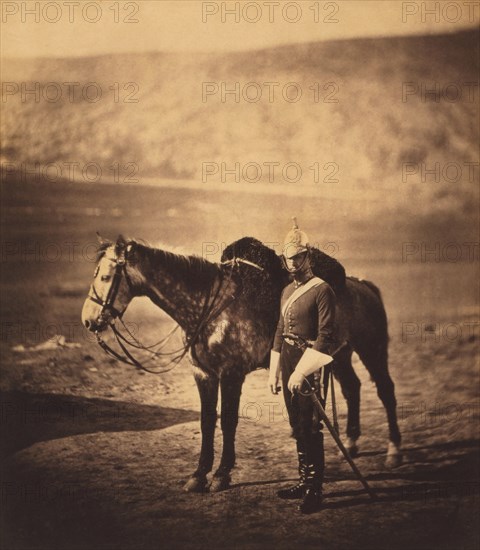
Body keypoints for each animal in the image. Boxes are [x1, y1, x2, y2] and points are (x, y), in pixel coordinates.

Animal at [81, 235, 402, 494]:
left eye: (106, 277)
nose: (88, 320)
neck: (209, 308)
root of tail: (364, 285)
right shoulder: (204, 374)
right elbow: (207, 421)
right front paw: (198, 475)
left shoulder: (231, 375)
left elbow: (228, 421)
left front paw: (222, 475)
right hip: (340, 354)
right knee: (352, 387)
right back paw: (351, 444)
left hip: (371, 349)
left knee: (385, 391)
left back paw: (394, 451)